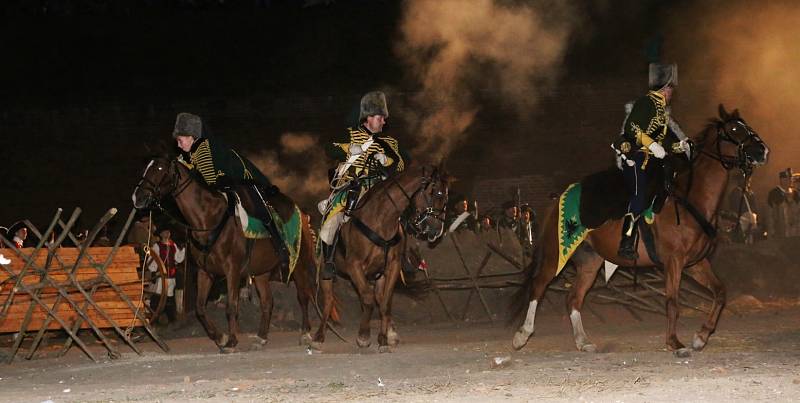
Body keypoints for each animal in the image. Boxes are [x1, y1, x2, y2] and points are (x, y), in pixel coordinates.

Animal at [133, 158, 318, 354]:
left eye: (160, 168)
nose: (137, 197)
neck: (209, 219)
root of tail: (300, 212)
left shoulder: (232, 271)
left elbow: (231, 307)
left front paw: (231, 341)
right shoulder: (204, 272)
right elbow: (200, 308)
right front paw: (220, 337)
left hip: (298, 264)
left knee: (303, 296)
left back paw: (306, 334)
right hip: (261, 272)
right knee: (267, 302)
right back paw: (261, 338)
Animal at [310, 164, 450, 354]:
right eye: (435, 193)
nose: (436, 230)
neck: (381, 219)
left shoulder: (391, 267)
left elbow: (384, 302)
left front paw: (383, 340)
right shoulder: (354, 266)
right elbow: (368, 299)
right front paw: (363, 337)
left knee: (376, 297)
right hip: (326, 271)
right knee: (329, 300)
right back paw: (318, 338)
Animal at [512, 105, 768, 356]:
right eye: (734, 129)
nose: (763, 151)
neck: (690, 199)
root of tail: (559, 200)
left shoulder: (695, 263)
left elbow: (720, 292)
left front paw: (700, 337)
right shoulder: (673, 261)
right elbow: (672, 302)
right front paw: (675, 343)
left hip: (590, 261)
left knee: (573, 298)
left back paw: (583, 342)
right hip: (556, 254)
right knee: (538, 287)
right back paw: (522, 336)